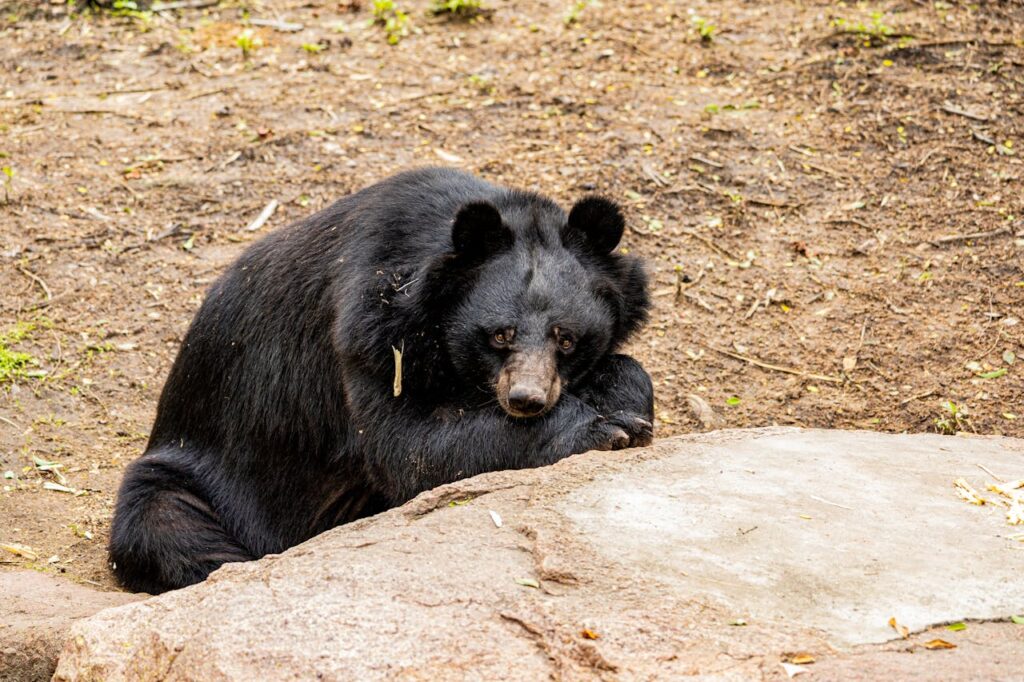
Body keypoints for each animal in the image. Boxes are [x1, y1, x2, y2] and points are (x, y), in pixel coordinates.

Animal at [109, 167, 654, 594]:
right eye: (500, 334)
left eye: (567, 338)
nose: (526, 400)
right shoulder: (369, 332)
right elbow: (409, 448)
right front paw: (603, 429)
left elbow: (627, 368)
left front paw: (627, 407)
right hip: (193, 474)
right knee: (166, 523)